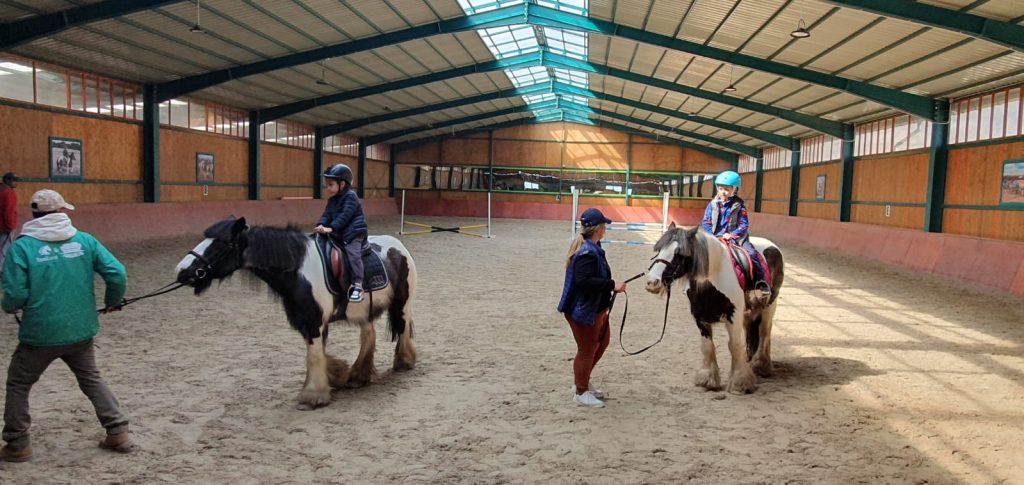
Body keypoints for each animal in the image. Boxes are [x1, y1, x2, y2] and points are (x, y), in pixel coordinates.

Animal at [175, 216, 417, 410]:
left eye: (220, 243)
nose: (182, 271)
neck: (299, 270)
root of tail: (399, 248)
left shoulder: (314, 322)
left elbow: (314, 356)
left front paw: (313, 395)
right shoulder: (307, 321)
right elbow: (318, 354)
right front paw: (337, 374)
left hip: (402, 304)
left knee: (402, 328)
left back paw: (404, 362)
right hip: (365, 311)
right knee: (369, 335)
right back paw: (358, 376)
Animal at [644, 224, 784, 394]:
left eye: (678, 254)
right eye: (659, 250)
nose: (652, 282)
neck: (712, 281)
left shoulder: (733, 315)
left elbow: (734, 345)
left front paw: (740, 382)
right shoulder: (699, 316)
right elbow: (707, 346)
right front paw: (707, 380)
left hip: (769, 306)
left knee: (764, 333)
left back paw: (760, 365)